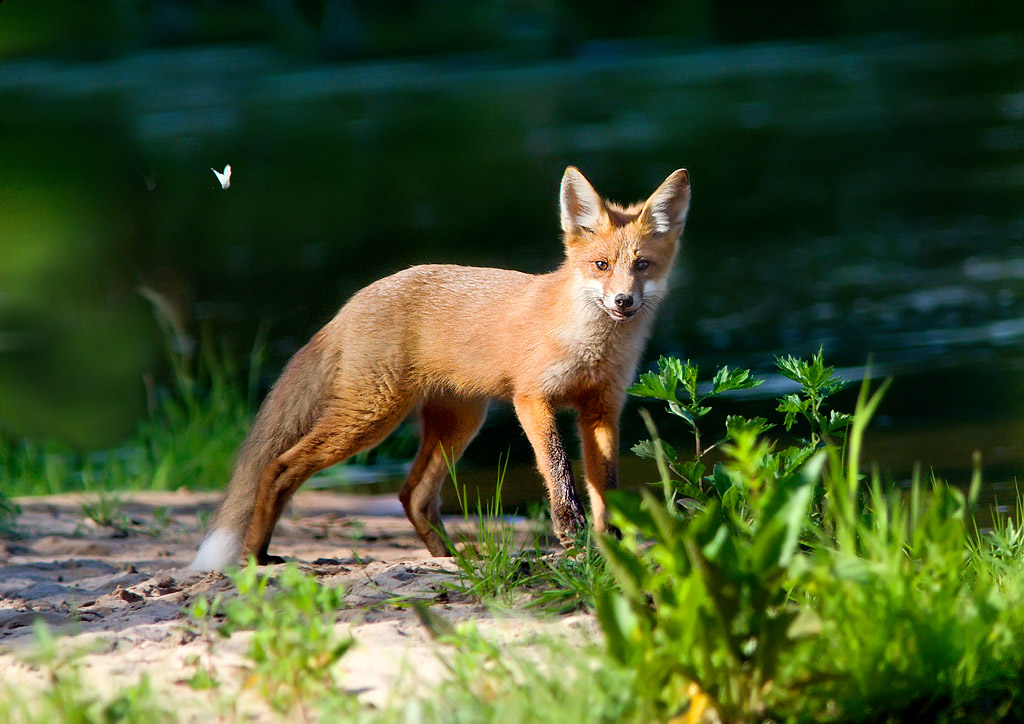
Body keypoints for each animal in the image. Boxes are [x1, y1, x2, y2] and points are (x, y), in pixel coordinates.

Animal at [188, 165, 692, 573]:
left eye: (642, 265)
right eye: (601, 265)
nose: (623, 301)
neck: (591, 347)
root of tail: (352, 303)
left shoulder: (602, 407)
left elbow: (606, 485)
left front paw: (611, 546)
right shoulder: (533, 399)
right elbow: (558, 469)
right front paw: (571, 531)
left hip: (458, 425)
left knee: (412, 496)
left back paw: (450, 560)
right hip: (371, 418)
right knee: (279, 467)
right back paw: (255, 556)